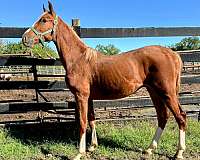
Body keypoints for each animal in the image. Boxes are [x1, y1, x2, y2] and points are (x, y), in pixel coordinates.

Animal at [22, 1, 187, 159]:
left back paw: (179, 152)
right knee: (163, 116)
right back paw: (149, 149)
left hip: (167, 92)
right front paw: (92, 146)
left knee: (180, 116)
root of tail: (172, 54)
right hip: (154, 91)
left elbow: (82, 122)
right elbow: (91, 119)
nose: (24, 38)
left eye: (44, 20)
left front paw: (79, 153)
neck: (79, 59)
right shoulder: (88, 97)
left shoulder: (81, 96)